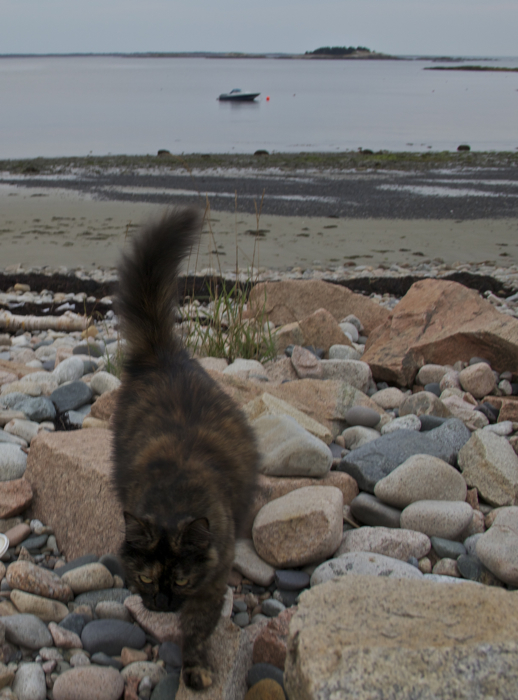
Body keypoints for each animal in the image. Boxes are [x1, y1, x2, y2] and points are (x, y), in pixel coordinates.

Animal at [112, 208, 262, 688]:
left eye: (177, 583)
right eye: (145, 578)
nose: (160, 604)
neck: (175, 496)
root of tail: (164, 354)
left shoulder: (211, 583)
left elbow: (197, 630)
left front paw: (194, 671)